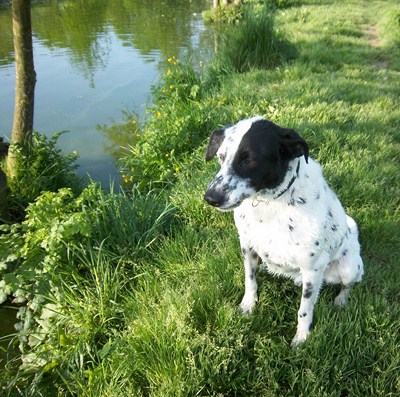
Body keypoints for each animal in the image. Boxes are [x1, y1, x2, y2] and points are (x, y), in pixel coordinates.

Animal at [205, 116, 364, 344]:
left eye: (250, 160)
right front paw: (248, 306)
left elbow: (305, 310)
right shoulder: (247, 247)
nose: (210, 197)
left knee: (349, 284)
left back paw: (341, 300)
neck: (269, 204)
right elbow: (250, 281)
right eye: (221, 156)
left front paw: (302, 338)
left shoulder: (312, 268)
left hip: (349, 268)